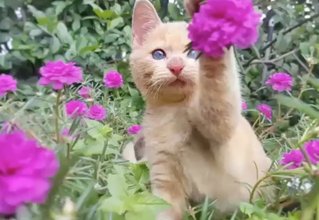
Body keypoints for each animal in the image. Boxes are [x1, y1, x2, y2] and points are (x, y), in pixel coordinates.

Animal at [124, 0, 274, 219]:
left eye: (193, 53)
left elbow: (217, 88)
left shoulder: (220, 122)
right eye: (158, 54)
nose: (176, 66)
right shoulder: (164, 178)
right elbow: (164, 210)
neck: (173, 113)